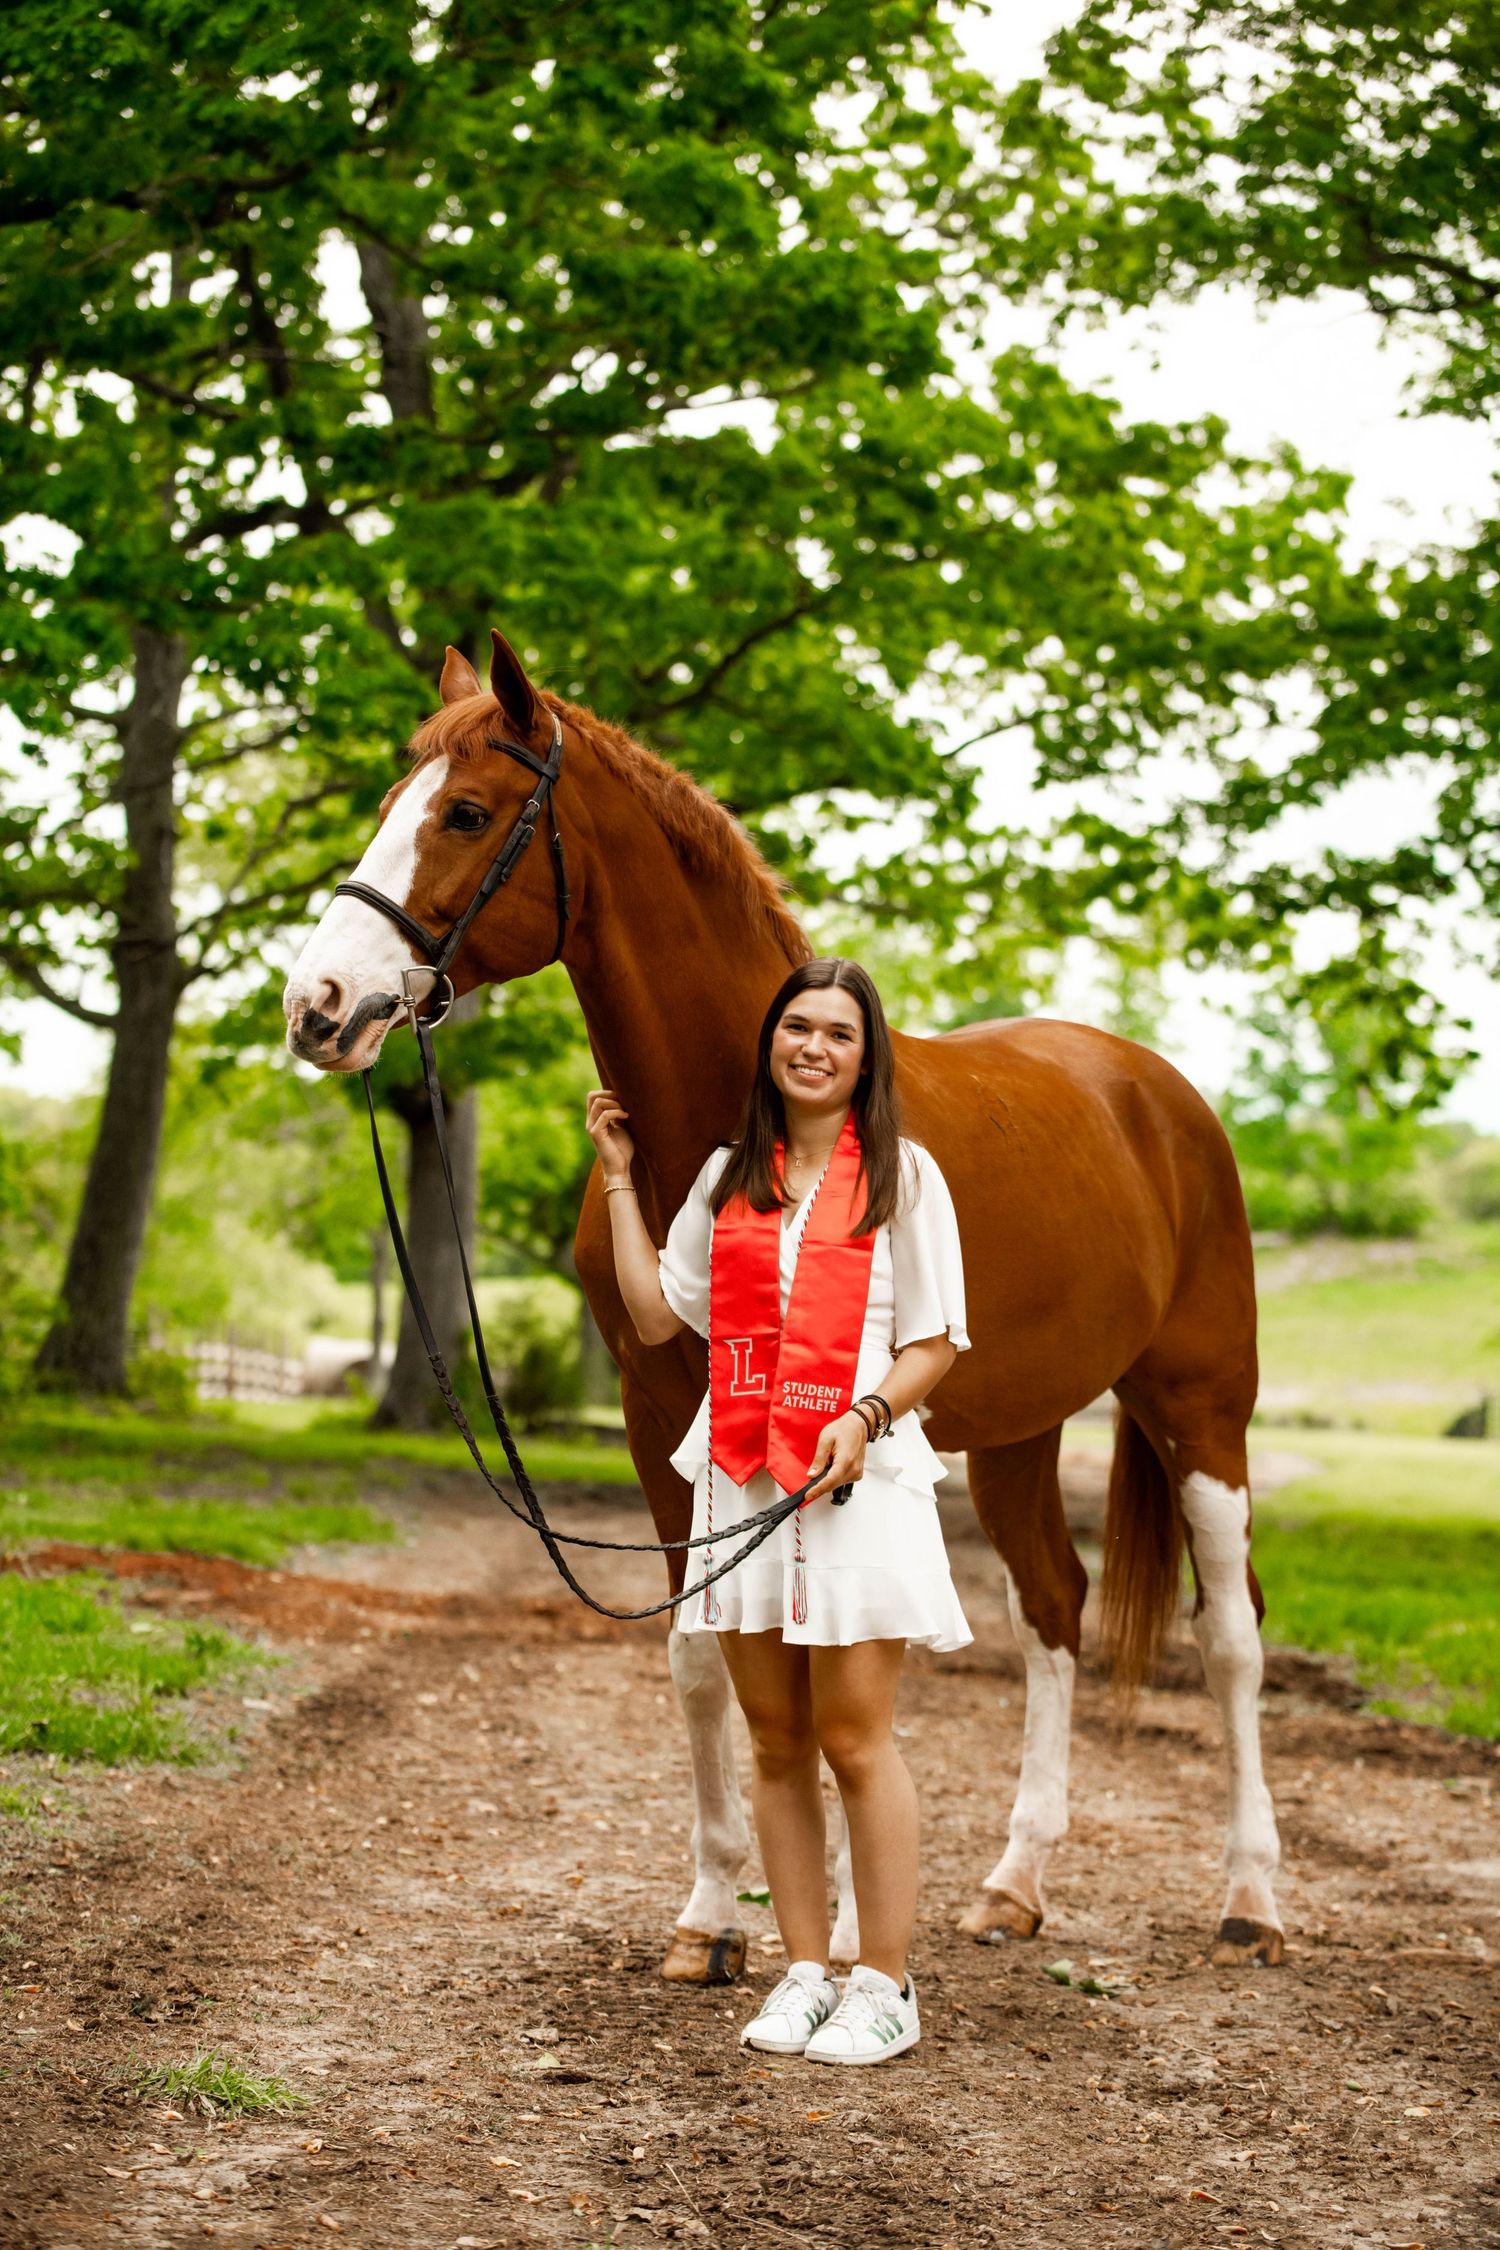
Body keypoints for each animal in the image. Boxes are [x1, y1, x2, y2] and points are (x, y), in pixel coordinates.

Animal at [283, 628, 1284, 1981]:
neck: (747, 1113)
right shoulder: (665, 1416)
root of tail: (1158, 1096)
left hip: (1199, 1408)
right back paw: (1013, 1884)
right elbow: (700, 1651)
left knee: (1231, 1631)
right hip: (1019, 1434)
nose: (318, 1007)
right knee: (1054, 1612)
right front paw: (713, 1916)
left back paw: (1252, 1899)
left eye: (468, 812)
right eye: (394, 801)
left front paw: (851, 1931)